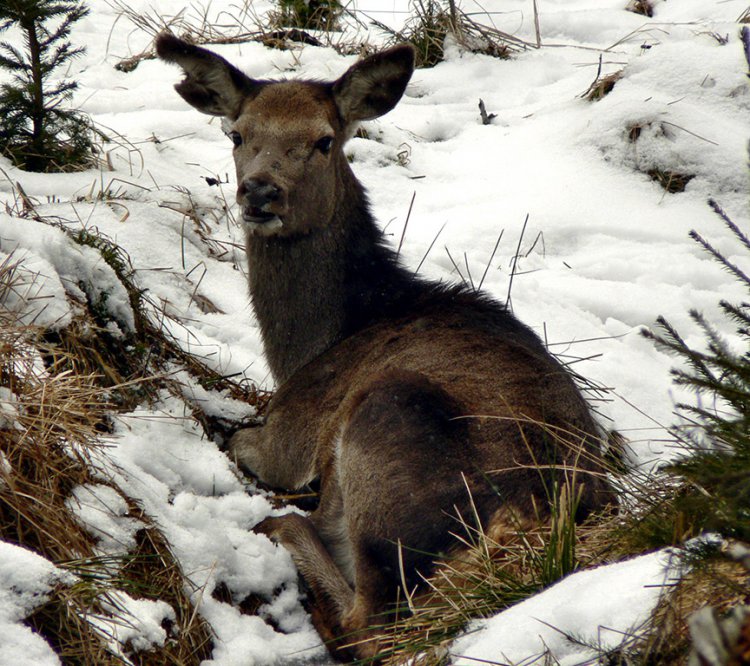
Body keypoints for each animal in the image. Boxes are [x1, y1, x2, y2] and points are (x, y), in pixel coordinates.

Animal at [159, 33, 616, 660]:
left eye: (323, 140)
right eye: (237, 134)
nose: (260, 191)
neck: (321, 339)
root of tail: (521, 537)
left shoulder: (290, 434)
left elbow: (242, 441)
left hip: (386, 428)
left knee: (371, 624)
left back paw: (288, 529)